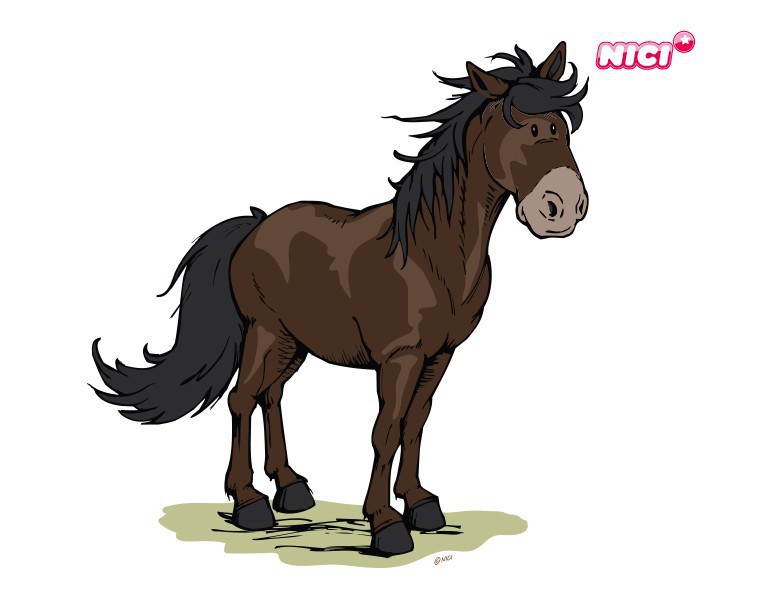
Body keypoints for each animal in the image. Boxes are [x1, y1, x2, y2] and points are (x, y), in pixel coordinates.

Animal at [91, 42, 589, 556]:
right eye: (527, 127)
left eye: (561, 126)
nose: (563, 207)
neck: (431, 253)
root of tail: (257, 224)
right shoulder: (400, 358)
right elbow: (386, 430)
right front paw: (386, 524)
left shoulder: (440, 355)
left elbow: (416, 423)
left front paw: (420, 503)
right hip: (265, 332)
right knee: (243, 398)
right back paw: (249, 502)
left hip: (294, 343)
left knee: (272, 395)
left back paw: (290, 487)